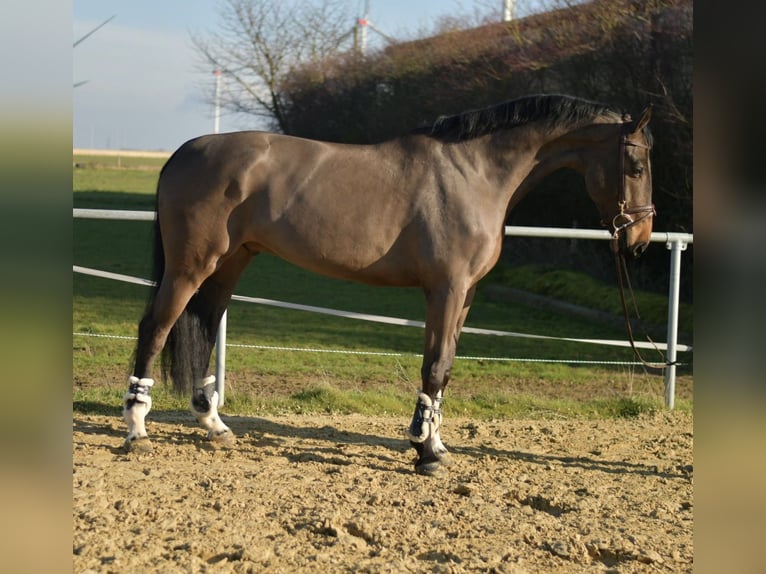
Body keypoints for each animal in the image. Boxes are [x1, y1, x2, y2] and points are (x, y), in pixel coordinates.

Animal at [122, 94, 654, 475]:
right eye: (636, 166)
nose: (641, 239)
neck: (474, 173)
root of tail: (182, 153)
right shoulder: (446, 289)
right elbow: (434, 368)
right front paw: (426, 454)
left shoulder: (465, 295)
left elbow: (445, 370)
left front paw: (434, 444)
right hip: (191, 266)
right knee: (156, 328)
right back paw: (136, 429)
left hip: (230, 263)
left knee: (203, 327)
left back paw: (214, 425)